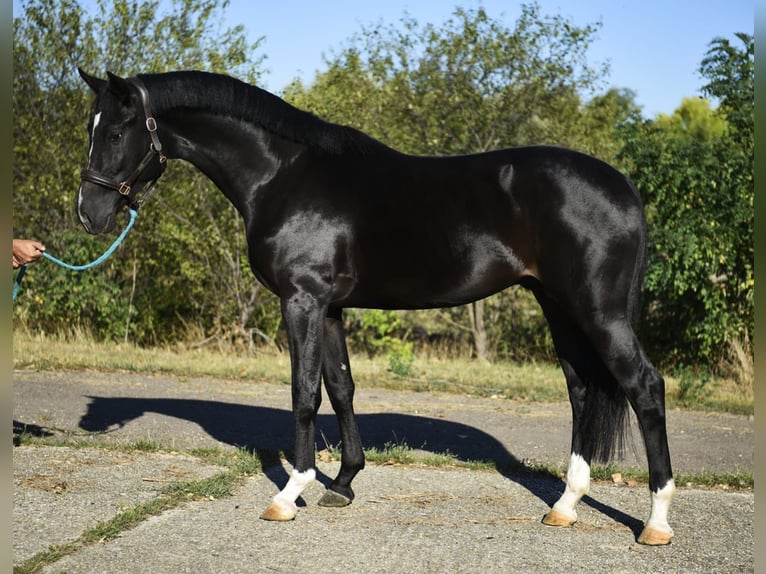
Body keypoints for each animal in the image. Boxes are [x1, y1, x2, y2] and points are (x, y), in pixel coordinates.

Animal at [75, 69, 675, 545]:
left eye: (117, 131)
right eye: (90, 129)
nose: (89, 214)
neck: (283, 173)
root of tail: (624, 188)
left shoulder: (303, 300)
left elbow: (304, 394)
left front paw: (290, 492)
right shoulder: (330, 308)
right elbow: (340, 387)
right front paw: (342, 483)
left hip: (597, 311)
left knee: (644, 386)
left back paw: (656, 523)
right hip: (558, 306)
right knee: (581, 391)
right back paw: (565, 506)